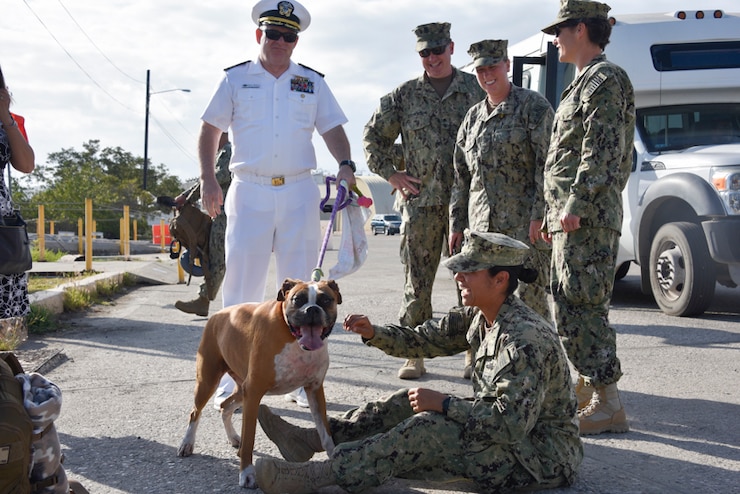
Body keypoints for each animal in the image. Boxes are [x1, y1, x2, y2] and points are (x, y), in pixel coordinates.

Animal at [176, 280, 342, 488]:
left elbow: (325, 432)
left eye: (326, 300)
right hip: (208, 381)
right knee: (195, 412)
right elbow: (249, 439)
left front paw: (334, 456)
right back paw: (187, 443)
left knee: (225, 407)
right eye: (298, 299)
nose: (312, 309)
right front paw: (246, 473)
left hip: (241, 390)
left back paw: (233, 438)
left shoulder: (314, 391)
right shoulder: (254, 393)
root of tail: (217, 315)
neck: (292, 337)